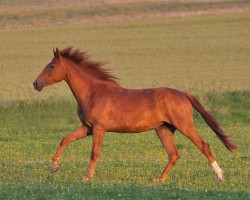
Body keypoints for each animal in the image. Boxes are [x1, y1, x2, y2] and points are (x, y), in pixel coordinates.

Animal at [32, 47, 236, 182]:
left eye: (51, 66)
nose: (36, 84)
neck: (93, 92)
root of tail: (184, 94)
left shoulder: (99, 128)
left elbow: (94, 153)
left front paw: (87, 177)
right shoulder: (87, 128)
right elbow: (65, 139)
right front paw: (54, 167)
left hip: (184, 126)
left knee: (203, 145)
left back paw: (220, 175)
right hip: (163, 129)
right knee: (174, 154)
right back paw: (158, 180)